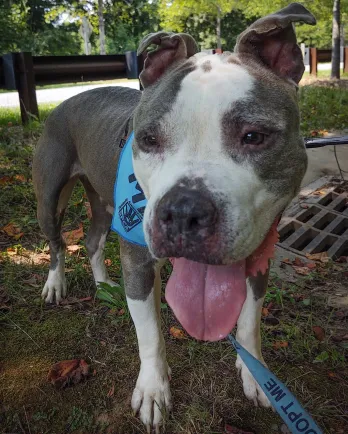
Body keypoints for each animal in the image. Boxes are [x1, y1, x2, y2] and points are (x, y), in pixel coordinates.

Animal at [32, 3, 316, 430]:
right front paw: (153, 391)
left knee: (94, 240)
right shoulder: (137, 257)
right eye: (148, 139)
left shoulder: (259, 255)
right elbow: (150, 335)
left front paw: (256, 376)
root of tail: (67, 100)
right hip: (51, 197)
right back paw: (55, 285)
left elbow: (250, 322)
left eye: (253, 136)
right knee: (58, 241)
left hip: (104, 203)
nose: (184, 212)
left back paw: (104, 286)